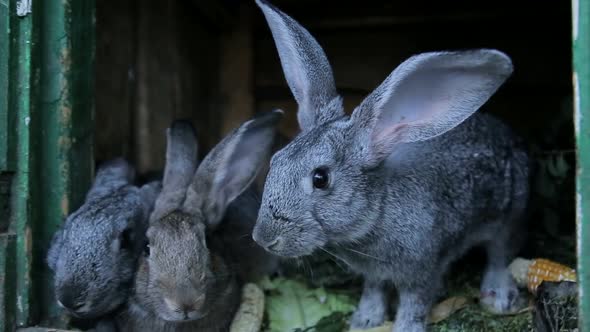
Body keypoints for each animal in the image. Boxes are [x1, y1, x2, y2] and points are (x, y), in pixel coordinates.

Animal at [252, 1, 536, 330]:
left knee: (500, 254)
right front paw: (364, 320)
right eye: (276, 160)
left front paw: (404, 326)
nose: (264, 238)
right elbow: (374, 290)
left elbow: (414, 301)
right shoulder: (374, 273)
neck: (379, 211)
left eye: (320, 178)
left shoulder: (423, 267)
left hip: (510, 213)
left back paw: (499, 297)